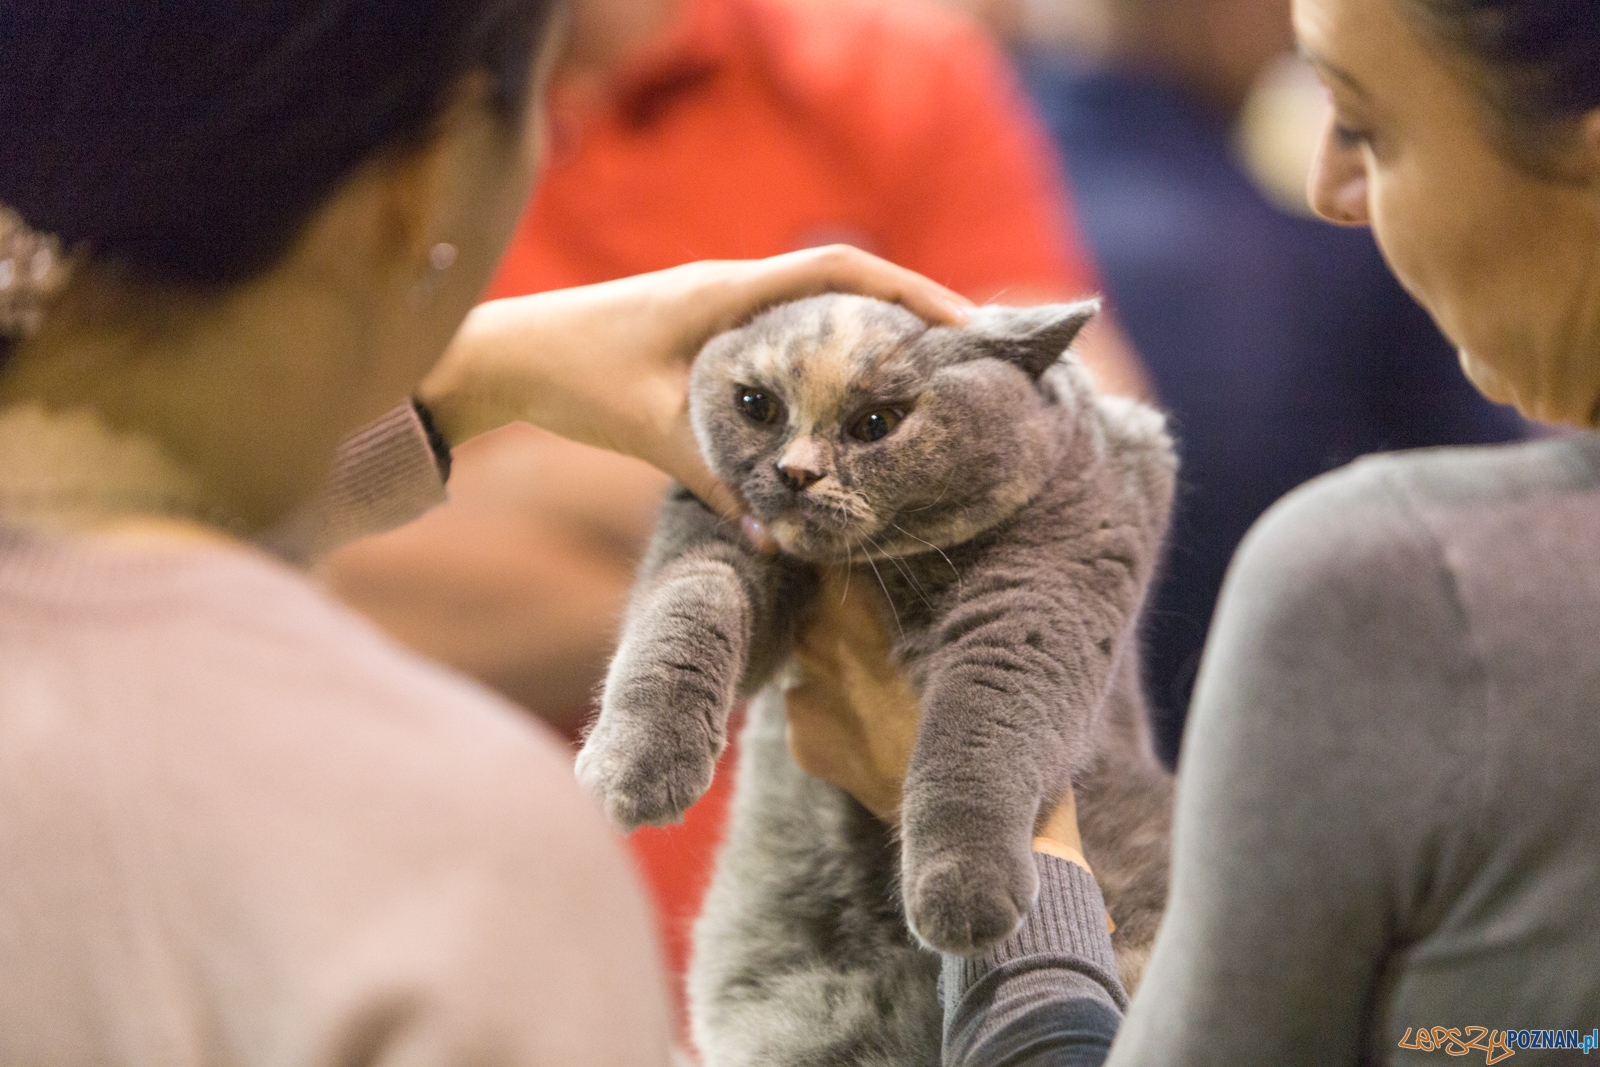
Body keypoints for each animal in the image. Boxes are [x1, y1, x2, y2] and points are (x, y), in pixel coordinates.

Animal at [576, 294, 1177, 1067]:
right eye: (757, 405)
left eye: (875, 424)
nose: (796, 471)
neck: (884, 571)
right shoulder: (713, 529)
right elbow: (685, 607)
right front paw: (633, 769)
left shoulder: (1049, 583)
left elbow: (979, 722)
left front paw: (961, 889)